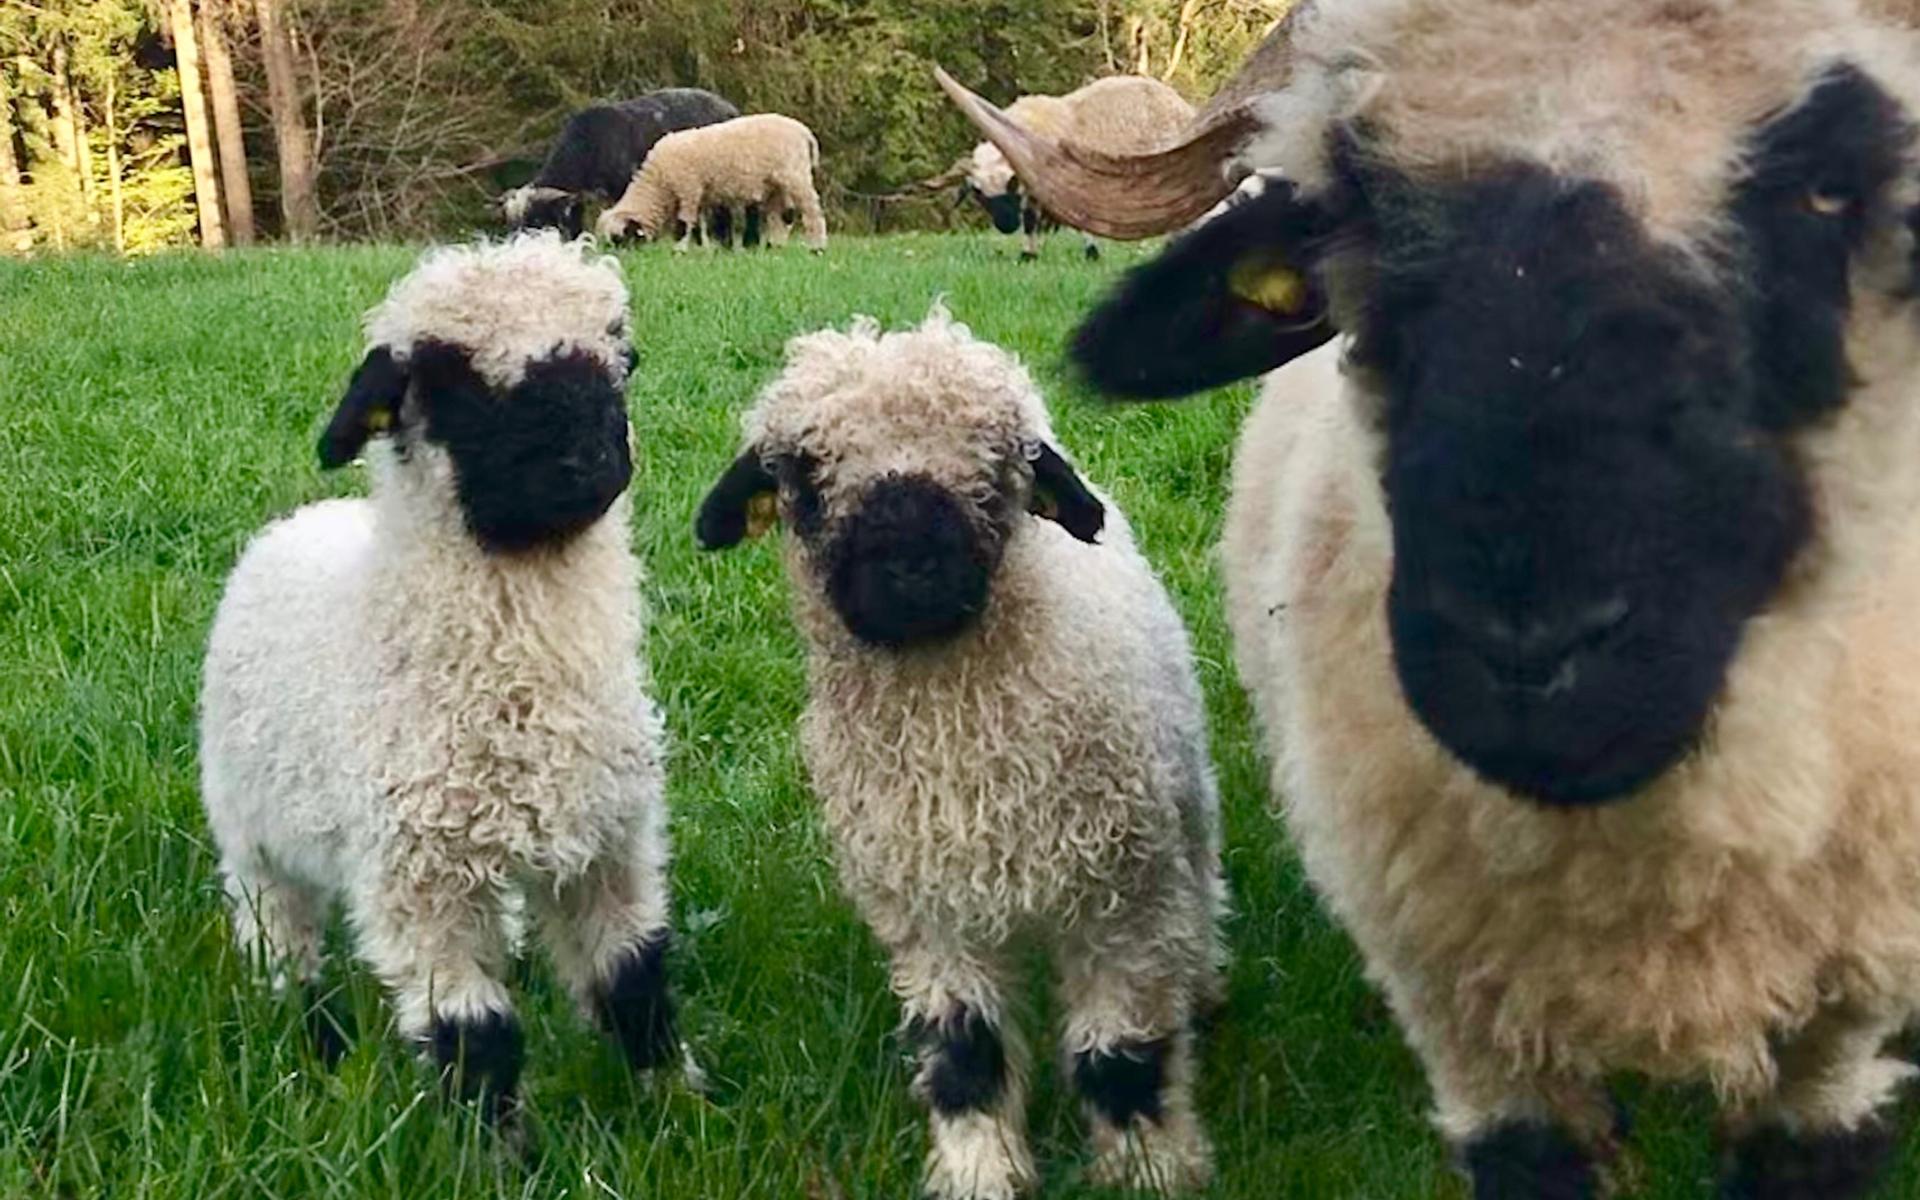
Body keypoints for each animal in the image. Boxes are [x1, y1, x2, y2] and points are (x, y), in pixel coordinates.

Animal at [198, 232, 675, 1126]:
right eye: (450, 382)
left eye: (614, 361)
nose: (588, 461)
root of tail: (302, 521)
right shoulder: (417, 880)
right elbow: (473, 1038)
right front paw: (499, 1147)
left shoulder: (610, 842)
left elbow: (637, 985)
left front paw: (684, 1108)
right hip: (250, 834)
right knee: (281, 941)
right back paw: (313, 1044)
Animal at [595, 113, 826, 253]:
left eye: (619, 238)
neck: (659, 182)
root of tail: (804, 131)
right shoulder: (699, 194)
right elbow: (698, 224)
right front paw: (703, 250)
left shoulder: (688, 188)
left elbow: (684, 223)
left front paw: (679, 251)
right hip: (775, 185)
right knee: (781, 215)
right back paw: (774, 247)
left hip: (796, 176)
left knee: (811, 212)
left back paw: (817, 247)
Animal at [693, 307, 1224, 1198]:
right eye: (803, 472)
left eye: (996, 461)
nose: (910, 563)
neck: (962, 740)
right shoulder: (930, 910)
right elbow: (964, 1052)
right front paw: (980, 1168)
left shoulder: (1121, 899)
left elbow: (1120, 1053)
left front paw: (1149, 1168)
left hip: (1180, 802)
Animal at [959, 76, 1195, 261]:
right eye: (978, 192)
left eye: (1011, 183)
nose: (1006, 226)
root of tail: (1182, 104)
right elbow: (1030, 218)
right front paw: (1028, 255)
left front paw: (1091, 253)